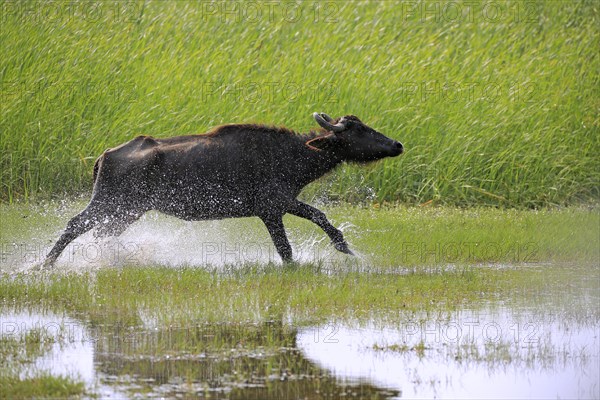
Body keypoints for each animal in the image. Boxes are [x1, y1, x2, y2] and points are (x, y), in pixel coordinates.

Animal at [43, 112, 404, 266]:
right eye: (358, 131)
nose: (397, 144)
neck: (295, 156)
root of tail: (103, 157)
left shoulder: (277, 205)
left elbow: (318, 221)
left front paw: (348, 250)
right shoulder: (273, 205)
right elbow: (296, 240)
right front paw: (345, 249)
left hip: (127, 212)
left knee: (100, 234)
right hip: (108, 203)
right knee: (74, 225)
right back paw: (44, 264)